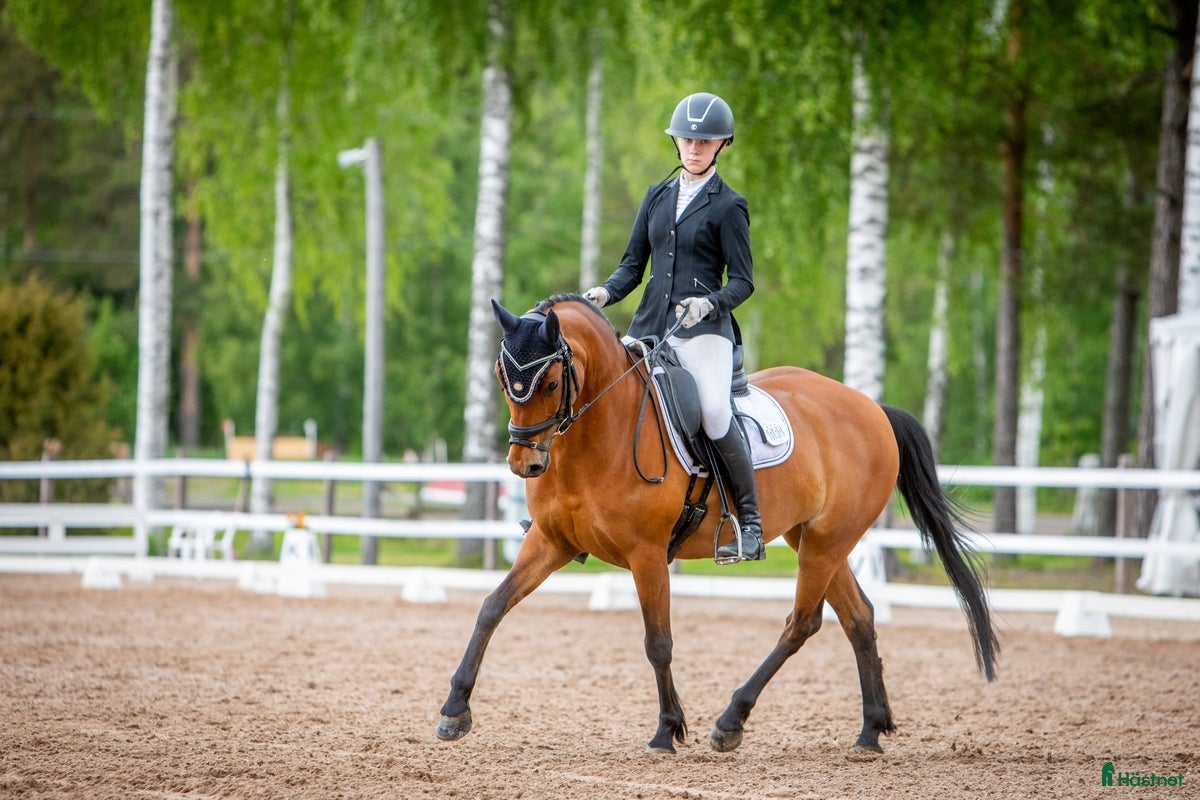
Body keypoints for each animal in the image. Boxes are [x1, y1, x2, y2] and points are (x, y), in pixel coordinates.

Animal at [437, 293, 999, 755]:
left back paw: (731, 721)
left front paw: (667, 731)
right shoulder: (549, 541)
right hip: (813, 537)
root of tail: (871, 408)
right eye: (500, 378)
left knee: (803, 623)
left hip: (827, 541)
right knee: (858, 617)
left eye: (551, 382)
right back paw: (870, 732)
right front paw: (454, 710)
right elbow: (491, 608)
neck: (599, 433)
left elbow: (658, 641)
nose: (524, 464)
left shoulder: (646, 554)